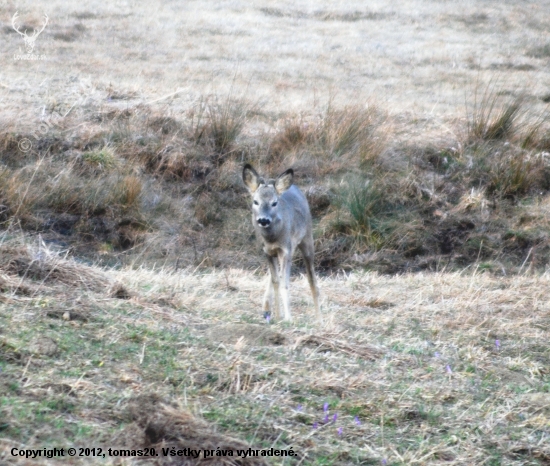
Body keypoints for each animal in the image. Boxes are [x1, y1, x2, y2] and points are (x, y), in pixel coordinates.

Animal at [243, 165, 324, 324]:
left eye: (274, 203)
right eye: (255, 201)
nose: (263, 220)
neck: (273, 238)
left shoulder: (286, 249)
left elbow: (284, 283)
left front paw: (288, 318)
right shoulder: (268, 251)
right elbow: (276, 281)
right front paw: (277, 316)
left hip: (307, 239)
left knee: (312, 279)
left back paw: (319, 319)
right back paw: (266, 309)